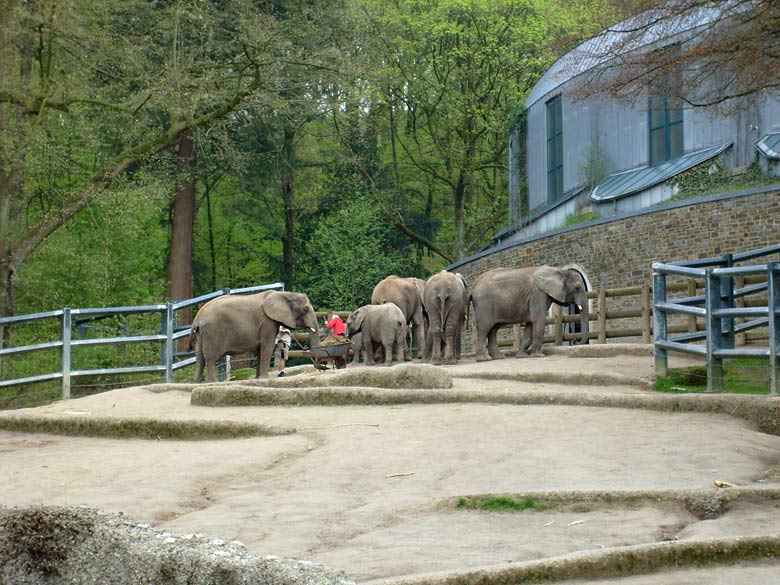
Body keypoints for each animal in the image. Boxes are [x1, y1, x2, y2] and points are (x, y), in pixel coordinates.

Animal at [190, 288, 318, 380]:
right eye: (305, 309)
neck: (285, 294)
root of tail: (197, 318)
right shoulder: (267, 322)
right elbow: (267, 345)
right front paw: (265, 378)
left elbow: (260, 349)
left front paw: (258, 378)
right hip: (212, 332)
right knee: (210, 359)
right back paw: (211, 382)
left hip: (201, 334)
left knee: (200, 359)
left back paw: (197, 383)